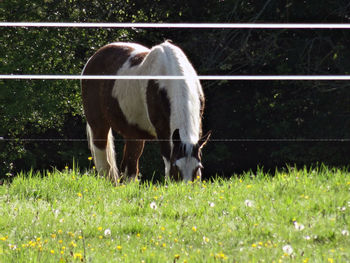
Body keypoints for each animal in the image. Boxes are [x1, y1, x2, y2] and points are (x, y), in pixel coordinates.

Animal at [81, 41, 211, 185]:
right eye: (176, 167)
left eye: (198, 167)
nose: (185, 188)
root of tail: (93, 58)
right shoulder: (164, 133)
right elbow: (167, 161)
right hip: (99, 125)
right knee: (104, 162)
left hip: (133, 134)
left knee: (129, 166)